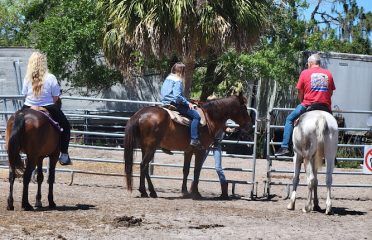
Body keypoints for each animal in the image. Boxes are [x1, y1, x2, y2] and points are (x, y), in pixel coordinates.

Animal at [125, 93, 253, 200]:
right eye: (244, 108)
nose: (249, 125)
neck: (210, 117)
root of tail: (139, 114)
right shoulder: (201, 151)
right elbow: (197, 170)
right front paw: (196, 193)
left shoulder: (189, 151)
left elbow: (185, 170)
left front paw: (185, 191)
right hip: (151, 148)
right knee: (143, 165)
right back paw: (144, 191)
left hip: (145, 148)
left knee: (145, 167)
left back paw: (151, 192)